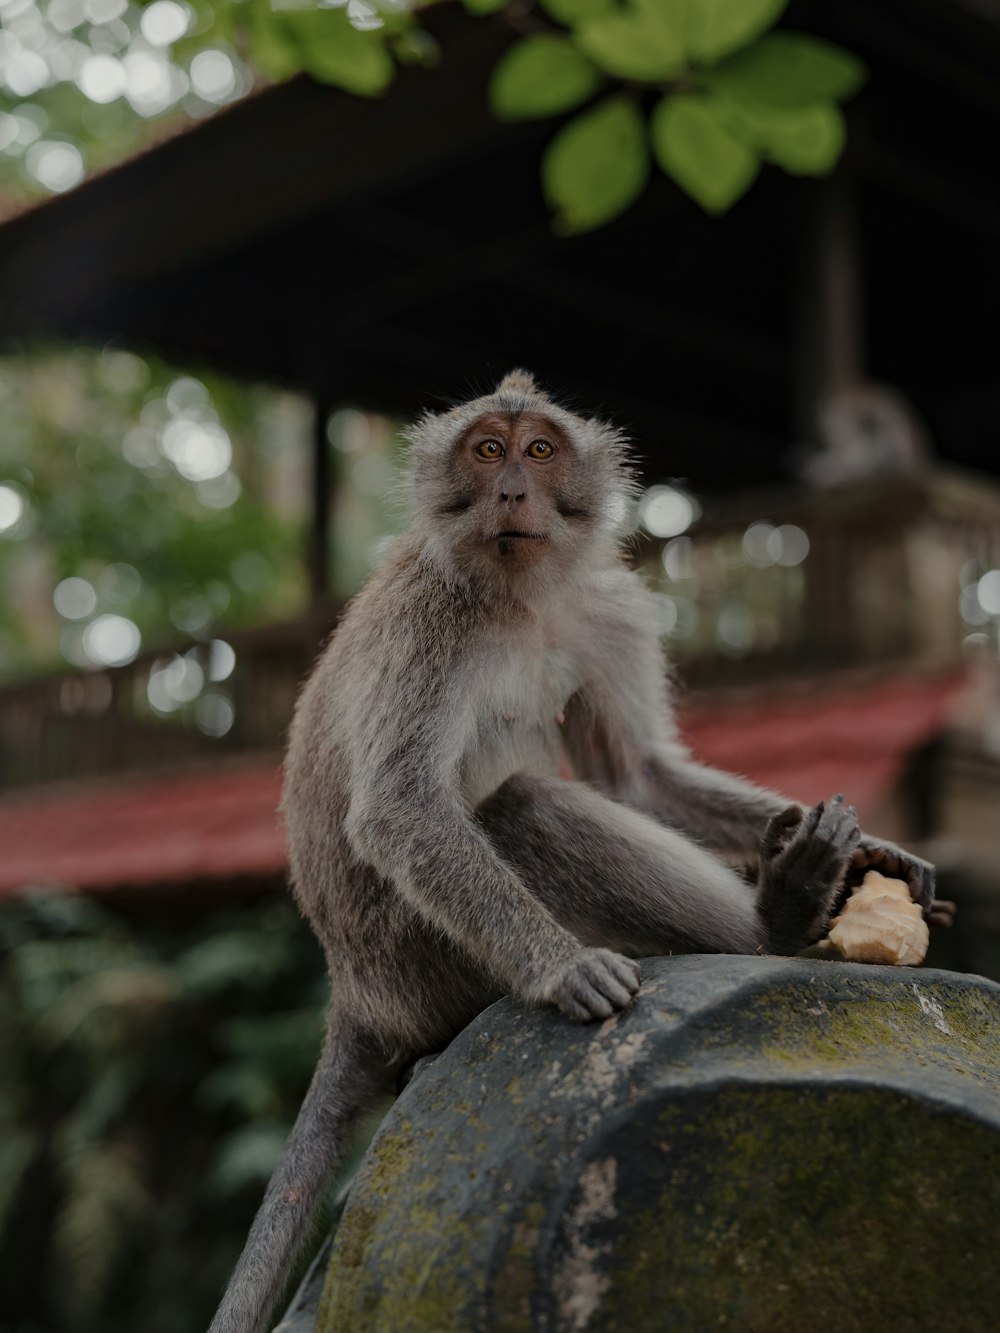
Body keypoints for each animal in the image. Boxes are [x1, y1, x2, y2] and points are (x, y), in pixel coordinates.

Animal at [208, 367, 944, 1333]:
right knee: (525, 804)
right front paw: (563, 967)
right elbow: (401, 806)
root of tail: (356, 994)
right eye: (487, 451)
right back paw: (778, 924)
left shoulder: (607, 610)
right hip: (429, 963)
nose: (513, 490)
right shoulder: (428, 617)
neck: (522, 591)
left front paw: (880, 855)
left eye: (539, 449)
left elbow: (637, 774)